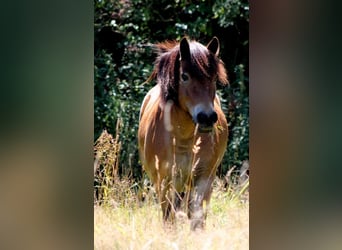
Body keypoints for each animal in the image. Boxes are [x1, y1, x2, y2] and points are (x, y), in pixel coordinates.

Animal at [138, 36, 228, 229]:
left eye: (214, 77)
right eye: (184, 76)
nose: (206, 117)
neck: (183, 138)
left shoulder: (204, 178)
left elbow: (197, 218)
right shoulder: (164, 181)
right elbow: (168, 218)